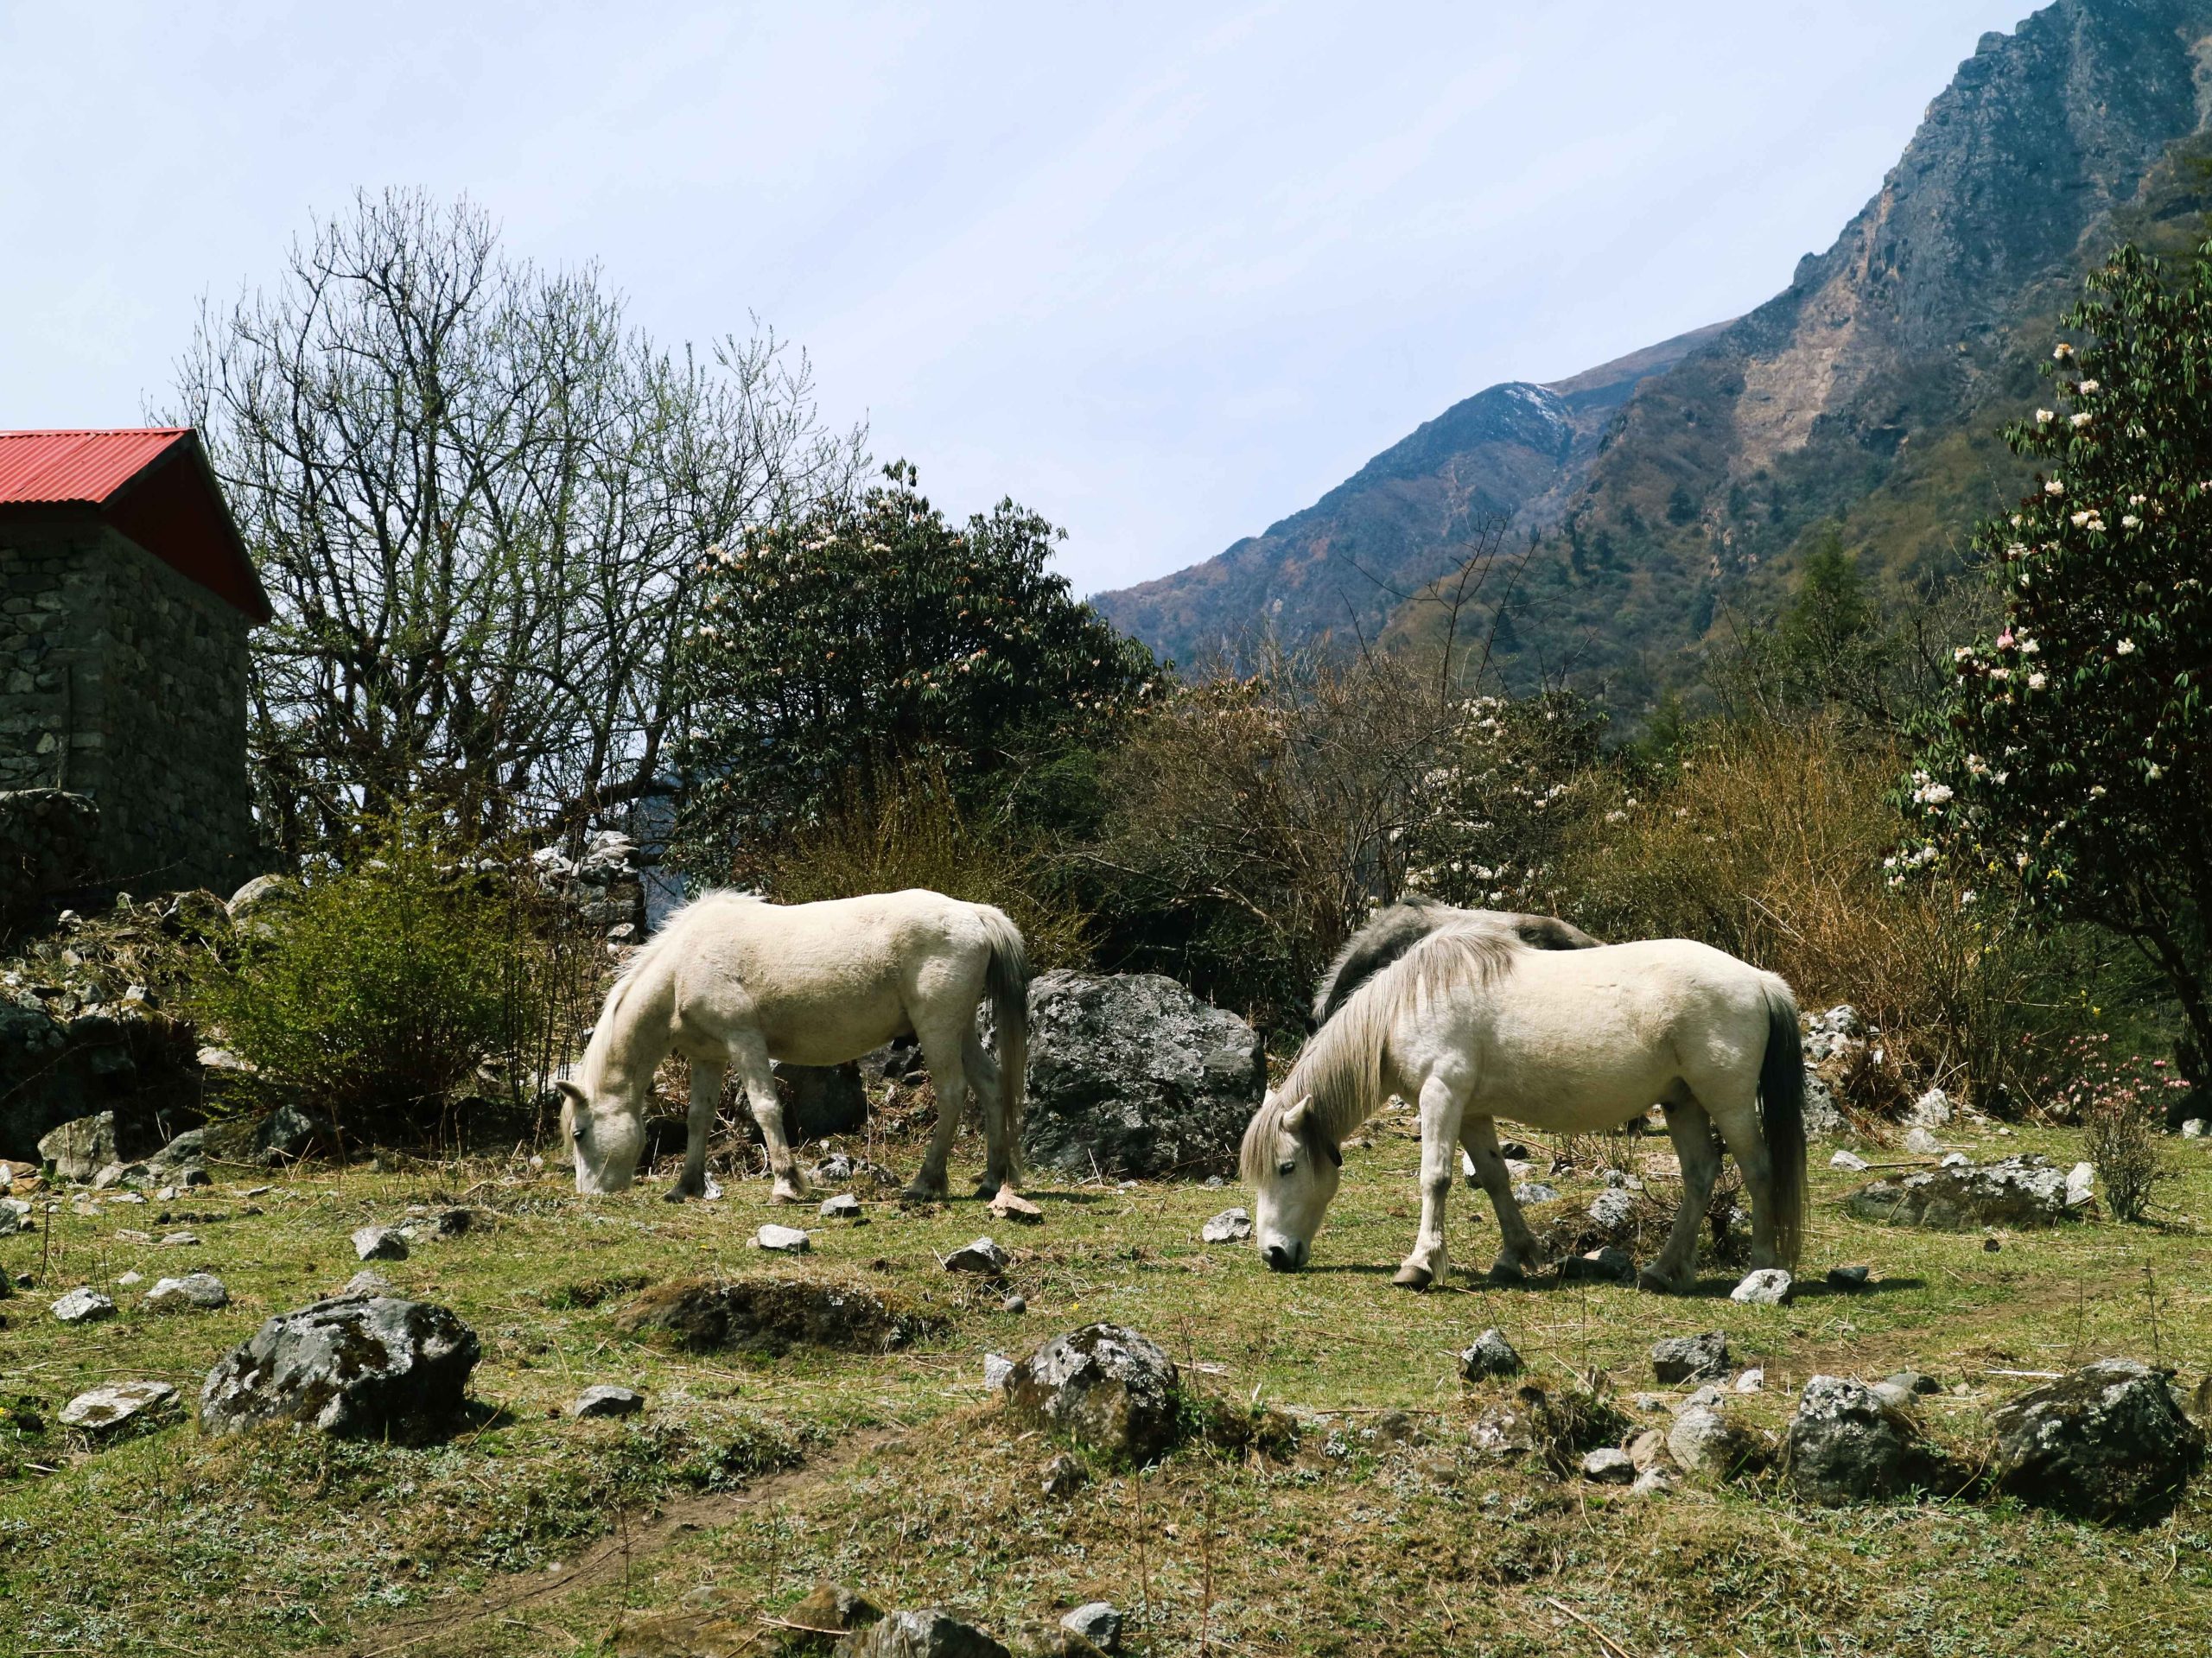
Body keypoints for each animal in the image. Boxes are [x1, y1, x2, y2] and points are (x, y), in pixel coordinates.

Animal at [562, 897, 1026, 1211]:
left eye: (579, 1133)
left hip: (937, 1029)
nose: (591, 1194)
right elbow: (699, 1119)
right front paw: (686, 1186)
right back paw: (991, 1180)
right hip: (959, 1031)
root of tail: (975, 914)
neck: (683, 967)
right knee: (990, 1085)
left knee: (952, 1093)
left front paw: (785, 1184)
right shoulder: (708, 1056)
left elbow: (766, 1107)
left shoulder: (744, 1040)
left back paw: (925, 1183)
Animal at [1238, 924, 1804, 1299]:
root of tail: (1759, 980)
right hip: (1682, 1102)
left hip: (1727, 1101)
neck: (1409, 1004)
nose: (1273, 1255)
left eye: (1286, 1167)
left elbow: (1435, 1179)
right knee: (1700, 1176)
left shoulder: (1442, 1096)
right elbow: (1494, 1178)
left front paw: (1419, 1265)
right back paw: (1664, 1270)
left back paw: (1760, 1270)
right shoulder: (1470, 1113)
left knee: (1758, 1171)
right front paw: (1514, 1257)